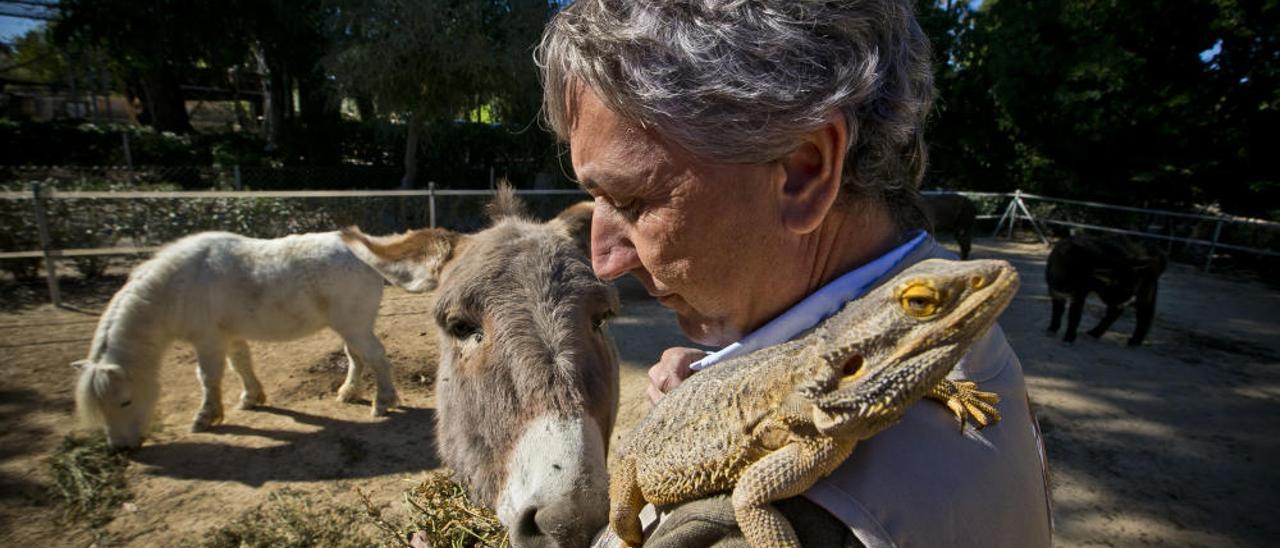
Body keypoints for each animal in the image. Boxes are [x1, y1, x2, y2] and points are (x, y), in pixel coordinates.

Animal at [72, 231, 399, 450]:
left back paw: (383, 402)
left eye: (125, 401)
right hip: (348, 326)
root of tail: (366, 252)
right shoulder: (230, 336)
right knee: (356, 357)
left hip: (354, 325)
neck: (175, 287)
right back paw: (348, 393)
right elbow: (241, 365)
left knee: (375, 355)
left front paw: (205, 418)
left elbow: (208, 377)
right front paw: (251, 398)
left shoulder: (208, 340)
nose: (121, 448)